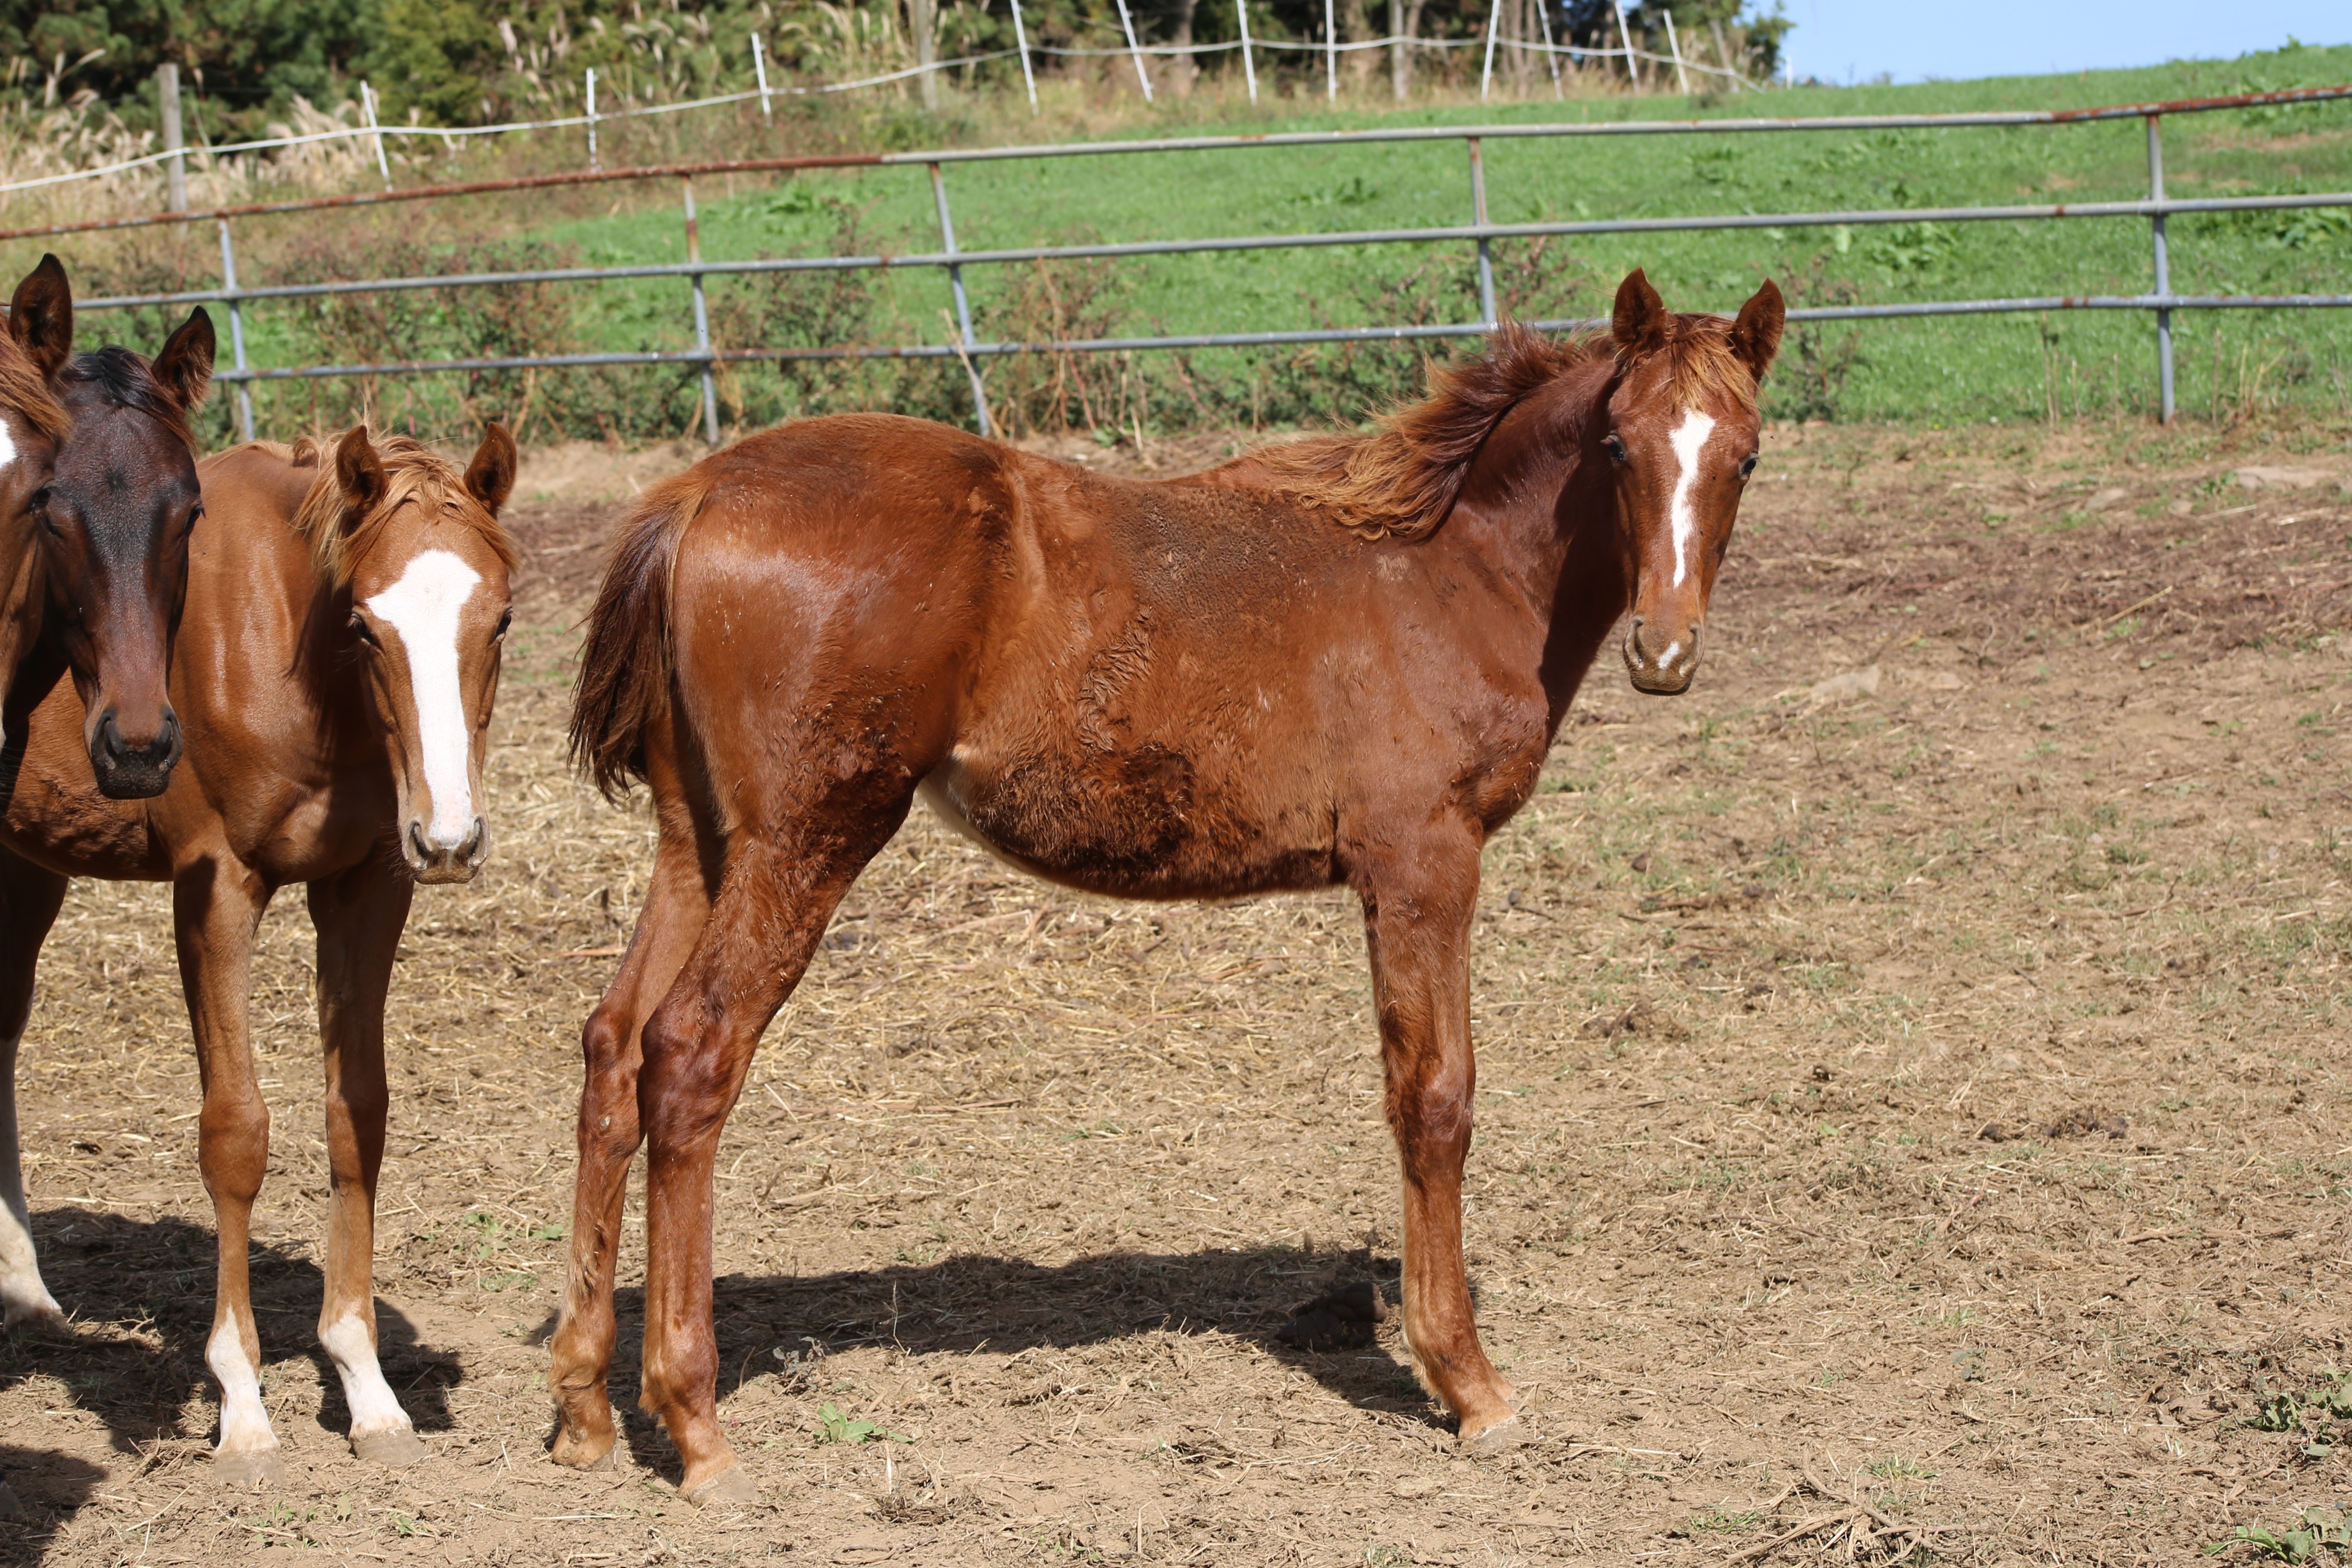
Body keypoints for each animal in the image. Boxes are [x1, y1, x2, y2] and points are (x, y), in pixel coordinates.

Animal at [0, 420, 520, 1485]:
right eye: (364, 625)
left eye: (500, 619)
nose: (451, 838)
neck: (281, 642)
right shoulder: (216, 889)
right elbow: (235, 1134)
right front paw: (241, 1403)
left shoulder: (369, 885)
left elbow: (358, 1115)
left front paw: (369, 1388)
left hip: (32, 868)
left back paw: (26, 1295)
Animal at [560, 272, 1787, 1504]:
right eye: (1618, 446)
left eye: (1746, 456)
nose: (1664, 651)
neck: (1448, 569)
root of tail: (698, 491)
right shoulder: (1423, 861)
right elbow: (1435, 1099)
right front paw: (1469, 1382)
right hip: (805, 840)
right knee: (691, 1052)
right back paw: (696, 1423)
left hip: (698, 844)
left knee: (614, 1046)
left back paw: (584, 1405)